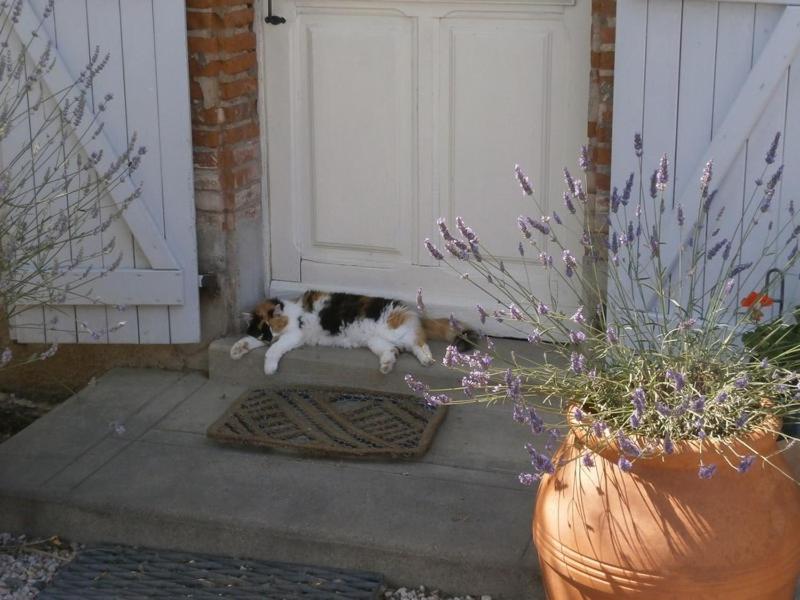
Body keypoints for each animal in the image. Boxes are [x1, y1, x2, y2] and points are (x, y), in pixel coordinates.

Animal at [230, 290, 476, 376]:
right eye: (263, 331)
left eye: (273, 327)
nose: (270, 336)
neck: (293, 312)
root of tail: (411, 310)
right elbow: (250, 341)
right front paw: (237, 349)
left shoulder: (293, 335)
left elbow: (273, 351)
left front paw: (269, 367)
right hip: (377, 342)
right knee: (393, 351)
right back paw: (386, 366)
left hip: (396, 331)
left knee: (420, 343)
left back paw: (426, 360)